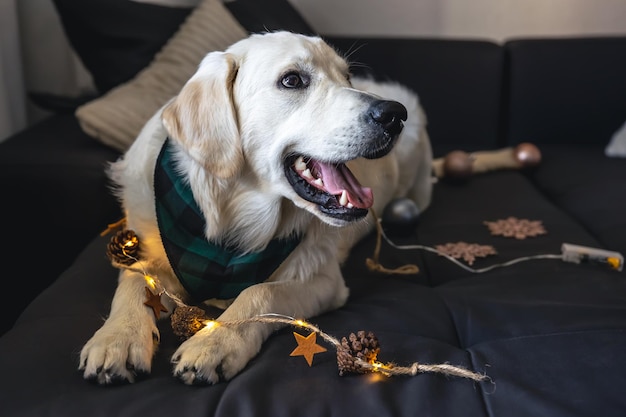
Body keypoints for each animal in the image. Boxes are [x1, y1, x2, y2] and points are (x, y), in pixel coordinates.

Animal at [77, 30, 428, 386]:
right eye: (292, 80)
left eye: (347, 77)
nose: (394, 115)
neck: (230, 215)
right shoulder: (148, 248)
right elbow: (134, 282)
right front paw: (117, 338)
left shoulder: (325, 280)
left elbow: (260, 292)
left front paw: (214, 343)